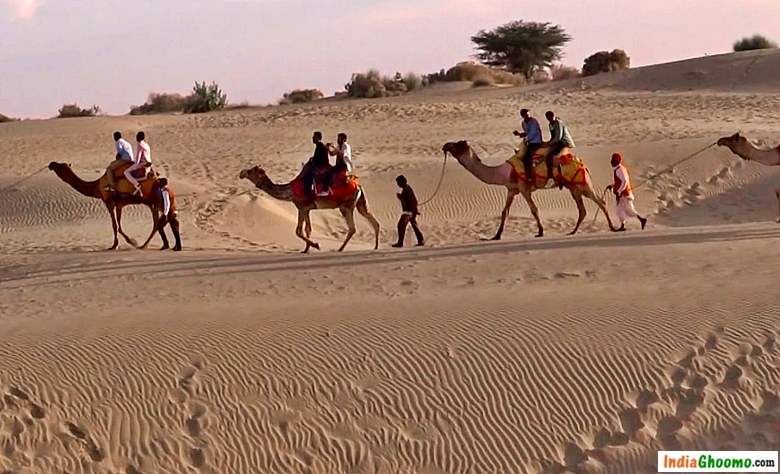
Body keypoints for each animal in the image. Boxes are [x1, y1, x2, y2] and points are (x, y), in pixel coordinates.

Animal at [48, 161, 181, 250]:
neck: (97, 186)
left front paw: (119, 244)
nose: (51, 164)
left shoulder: (109, 202)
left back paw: (148, 245)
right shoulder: (119, 204)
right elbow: (119, 225)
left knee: (161, 222)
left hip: (156, 202)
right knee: (165, 221)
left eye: (60, 167)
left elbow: (114, 225)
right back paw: (162, 245)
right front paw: (129, 241)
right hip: (157, 203)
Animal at [241, 168, 380, 256]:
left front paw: (316, 245)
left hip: (346, 206)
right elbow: (308, 229)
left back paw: (340, 249)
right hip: (360, 203)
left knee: (352, 228)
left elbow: (298, 231)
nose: (241, 173)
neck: (289, 192)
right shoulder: (307, 209)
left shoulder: (301, 207)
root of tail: (358, 186)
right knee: (373, 221)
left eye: (251, 171)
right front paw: (306, 250)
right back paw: (376, 246)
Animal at [438, 140, 616, 237]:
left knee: (600, 202)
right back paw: (573, 231)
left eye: (457, 145)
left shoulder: (524, 188)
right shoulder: (511, 189)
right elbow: (504, 211)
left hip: (583, 185)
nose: (445, 146)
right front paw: (496, 235)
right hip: (574, 188)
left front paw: (540, 231)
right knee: (582, 209)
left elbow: (534, 209)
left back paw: (612, 227)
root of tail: (582, 164)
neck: (504, 172)